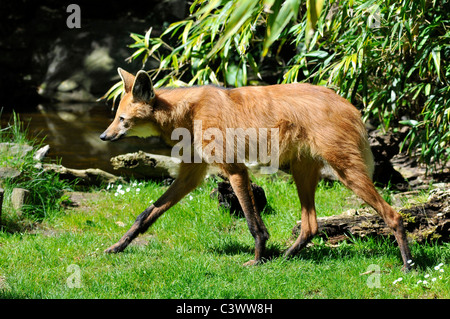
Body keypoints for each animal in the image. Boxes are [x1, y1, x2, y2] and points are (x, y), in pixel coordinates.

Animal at [100, 69, 414, 272]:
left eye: (122, 119)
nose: (103, 136)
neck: (186, 113)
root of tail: (349, 104)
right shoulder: (192, 174)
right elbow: (147, 214)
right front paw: (117, 246)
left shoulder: (235, 169)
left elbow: (253, 223)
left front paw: (257, 259)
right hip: (302, 171)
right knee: (311, 225)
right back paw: (286, 257)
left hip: (345, 171)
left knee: (393, 215)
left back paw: (408, 266)